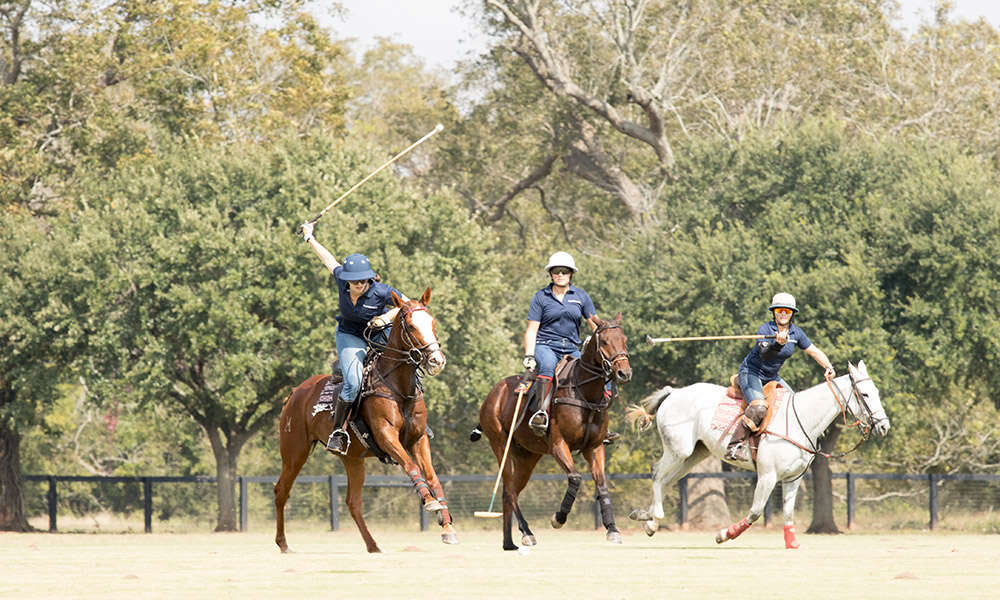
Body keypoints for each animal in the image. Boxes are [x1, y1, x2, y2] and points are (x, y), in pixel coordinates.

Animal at [276, 288, 458, 552]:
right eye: (411, 326)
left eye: (433, 322)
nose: (437, 361)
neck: (399, 387)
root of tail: (295, 392)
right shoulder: (386, 436)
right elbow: (412, 467)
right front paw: (431, 504)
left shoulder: (419, 439)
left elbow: (433, 478)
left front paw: (447, 526)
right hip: (294, 452)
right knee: (281, 490)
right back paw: (283, 543)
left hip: (353, 460)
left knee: (353, 502)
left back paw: (373, 545)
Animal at [472, 314, 628, 552]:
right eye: (605, 341)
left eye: (624, 339)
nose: (624, 373)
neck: (585, 394)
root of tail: (493, 393)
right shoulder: (558, 445)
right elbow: (575, 478)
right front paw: (558, 518)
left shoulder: (594, 447)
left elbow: (602, 485)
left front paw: (612, 529)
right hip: (500, 445)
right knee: (508, 490)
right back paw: (527, 533)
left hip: (527, 455)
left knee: (511, 490)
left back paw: (509, 542)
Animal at [624, 360, 892, 548]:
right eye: (865, 394)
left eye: (877, 391)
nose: (884, 426)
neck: (803, 418)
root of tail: (673, 392)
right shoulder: (767, 476)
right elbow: (755, 512)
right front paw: (723, 534)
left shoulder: (793, 479)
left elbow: (788, 513)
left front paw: (792, 543)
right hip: (678, 449)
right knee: (656, 473)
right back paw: (653, 518)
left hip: (693, 455)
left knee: (667, 480)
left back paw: (646, 518)